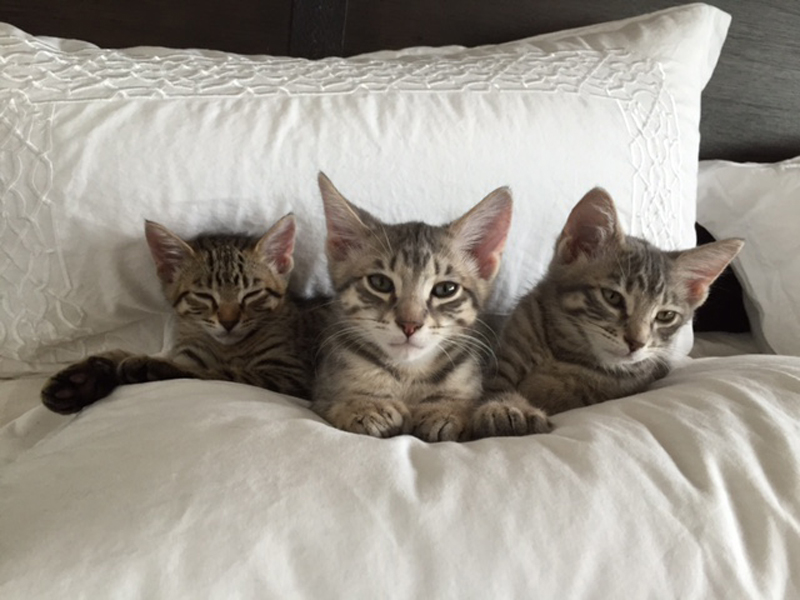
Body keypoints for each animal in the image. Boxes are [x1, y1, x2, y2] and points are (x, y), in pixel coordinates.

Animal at [39, 213, 328, 414]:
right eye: (204, 296)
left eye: (252, 294)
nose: (229, 321)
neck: (227, 348)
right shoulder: (188, 351)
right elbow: (128, 353)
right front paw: (80, 381)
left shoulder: (290, 375)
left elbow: (222, 373)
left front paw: (149, 366)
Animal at [310, 171, 540, 442]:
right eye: (380, 283)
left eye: (445, 289)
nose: (410, 324)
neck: (409, 374)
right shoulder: (321, 391)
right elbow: (335, 400)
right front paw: (364, 405)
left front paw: (444, 410)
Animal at [468, 185, 744, 438]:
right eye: (613, 297)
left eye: (665, 316)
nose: (637, 342)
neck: (565, 353)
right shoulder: (512, 344)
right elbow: (496, 384)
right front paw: (504, 407)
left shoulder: (630, 381)